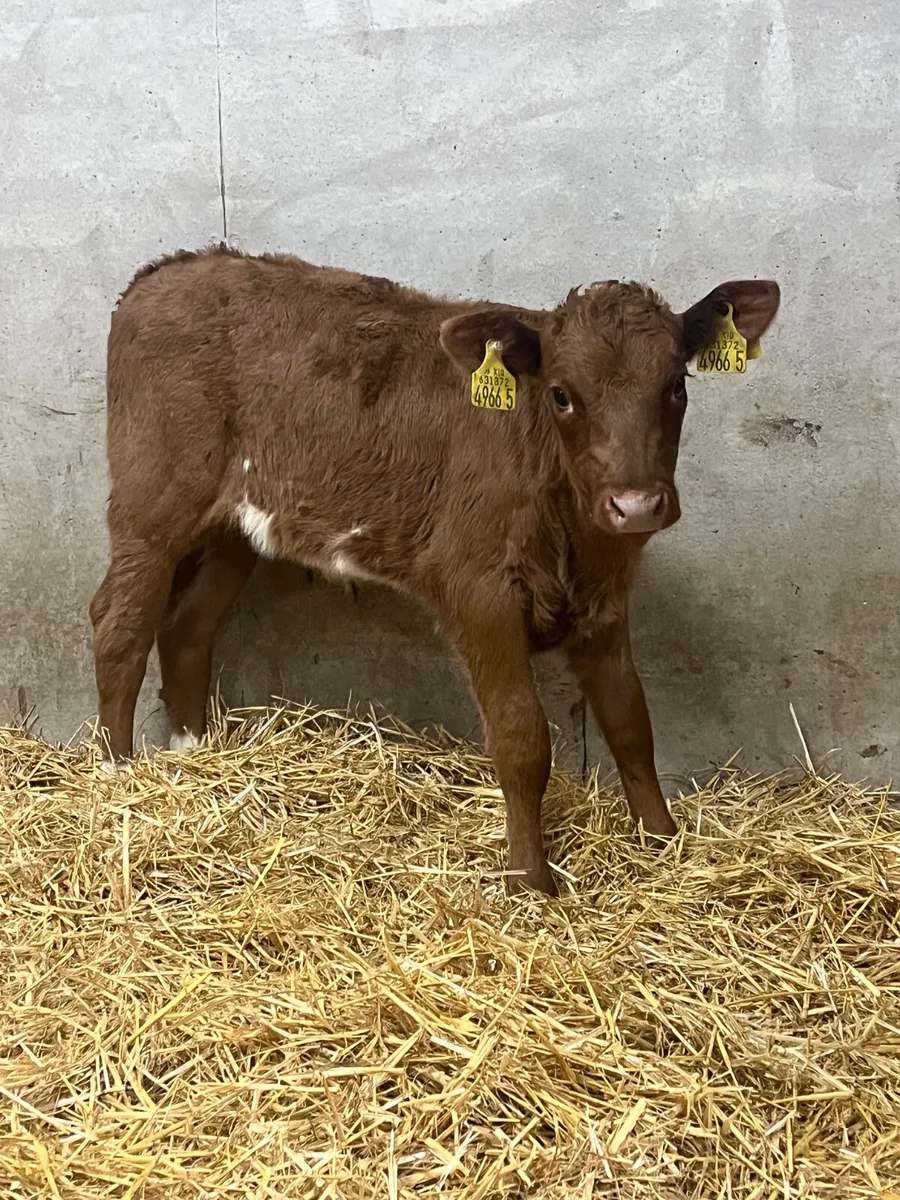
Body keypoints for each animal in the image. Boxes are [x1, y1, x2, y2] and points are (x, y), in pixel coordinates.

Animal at [90, 245, 780, 895]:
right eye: (561, 394)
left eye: (677, 386)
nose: (635, 505)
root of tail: (170, 269)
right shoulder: (479, 591)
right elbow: (521, 736)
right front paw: (530, 879)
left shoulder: (604, 602)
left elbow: (630, 719)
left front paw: (664, 843)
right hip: (152, 500)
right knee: (119, 625)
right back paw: (119, 777)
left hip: (237, 525)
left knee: (186, 626)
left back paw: (191, 757)